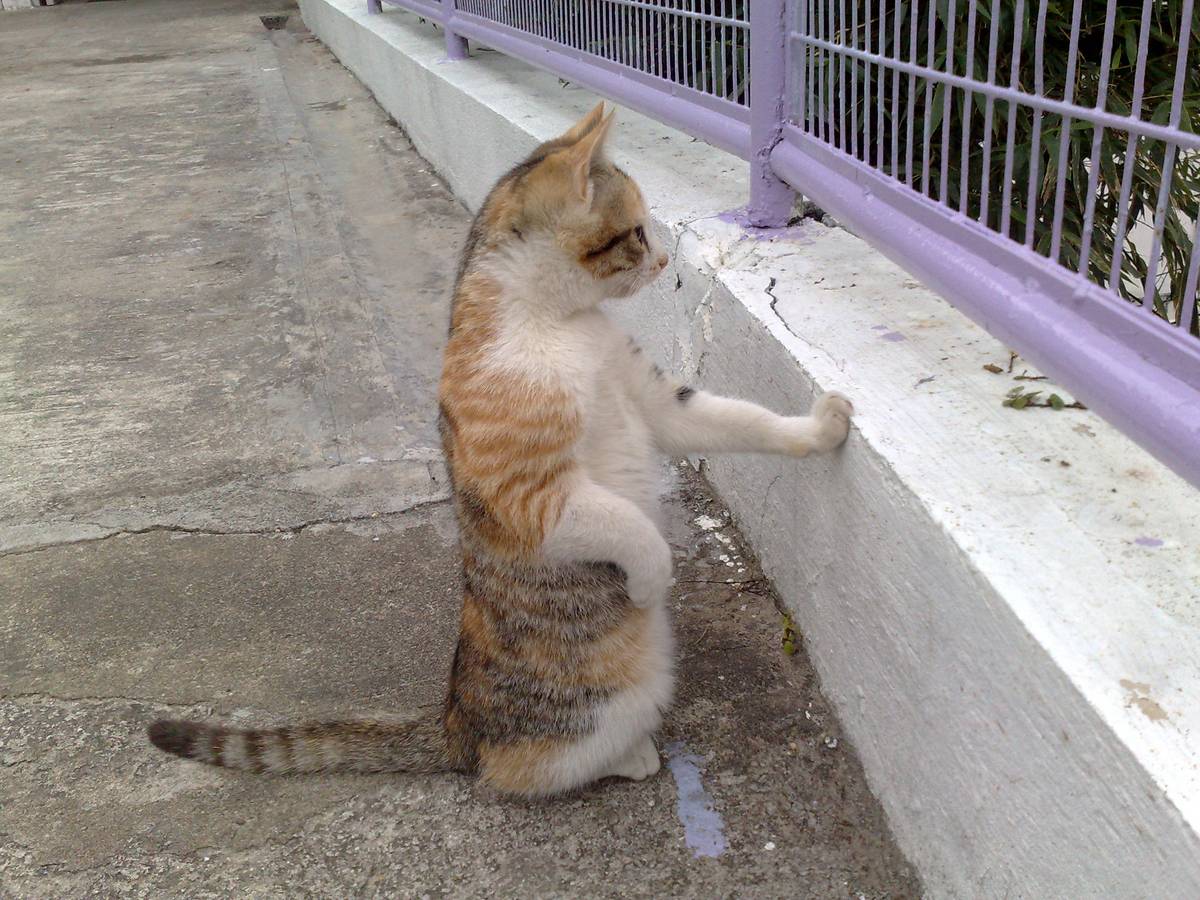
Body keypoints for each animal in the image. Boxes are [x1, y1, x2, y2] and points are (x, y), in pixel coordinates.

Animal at [147, 103, 853, 797]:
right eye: (635, 232)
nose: (663, 264)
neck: (559, 324)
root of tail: (455, 722)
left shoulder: (657, 402)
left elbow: (737, 420)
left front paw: (821, 430)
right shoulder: (535, 497)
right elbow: (629, 527)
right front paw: (655, 576)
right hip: (611, 700)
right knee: (519, 769)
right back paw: (633, 756)